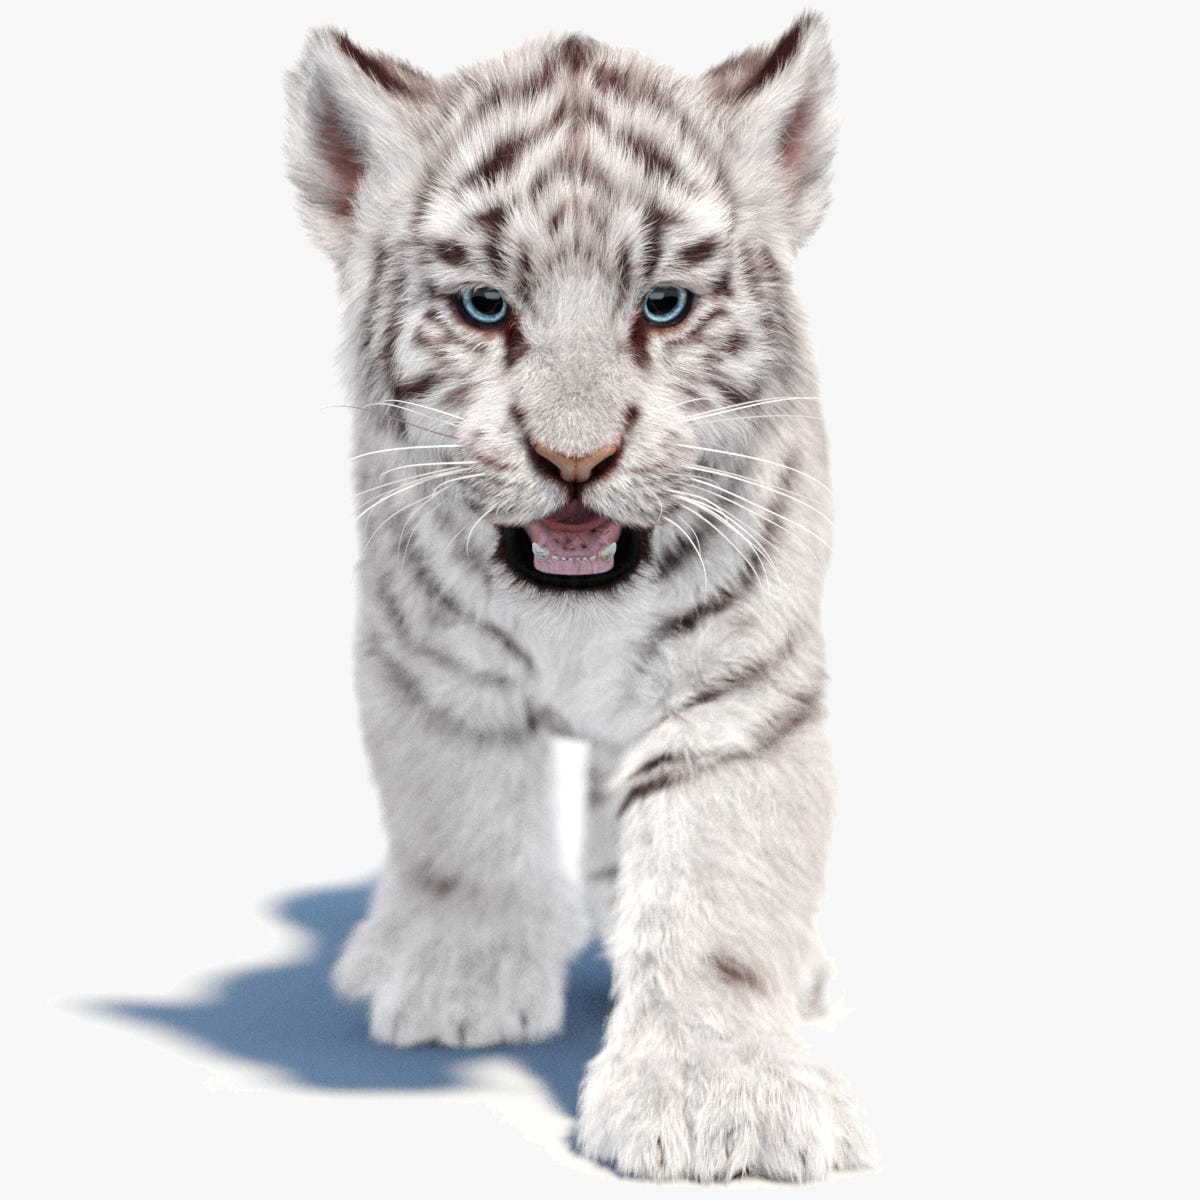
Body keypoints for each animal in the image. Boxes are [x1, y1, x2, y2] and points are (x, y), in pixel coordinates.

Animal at [285, 14, 876, 1183]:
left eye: (664, 306)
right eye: (485, 308)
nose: (574, 460)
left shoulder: (736, 698)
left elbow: (717, 885)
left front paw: (719, 1100)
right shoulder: (434, 669)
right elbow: (458, 821)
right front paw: (460, 983)